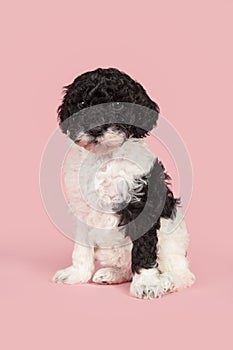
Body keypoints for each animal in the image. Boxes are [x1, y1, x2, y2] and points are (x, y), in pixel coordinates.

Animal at [52, 67, 195, 298]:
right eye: (81, 103)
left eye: (118, 104)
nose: (95, 128)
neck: (105, 158)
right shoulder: (82, 209)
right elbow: (81, 250)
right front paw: (76, 274)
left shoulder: (142, 206)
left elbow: (144, 251)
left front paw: (146, 284)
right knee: (127, 267)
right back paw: (112, 274)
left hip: (172, 245)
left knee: (183, 274)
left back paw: (167, 281)